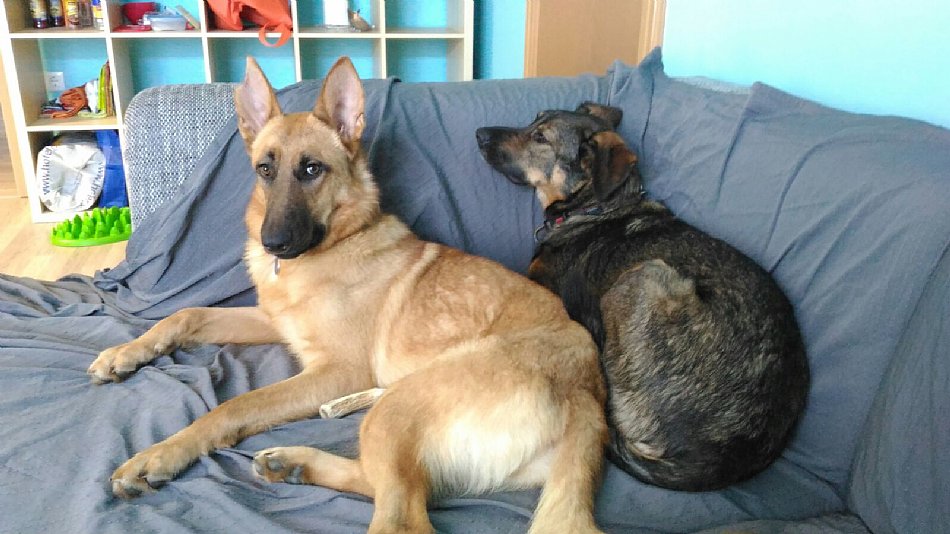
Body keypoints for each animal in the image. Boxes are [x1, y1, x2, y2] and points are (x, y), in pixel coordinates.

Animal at [87, 58, 609, 534]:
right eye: (265, 169)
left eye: (311, 169)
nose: (272, 243)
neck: (334, 243)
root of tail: (587, 394)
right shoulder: (273, 321)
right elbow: (186, 315)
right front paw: (124, 354)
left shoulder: (336, 372)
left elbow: (235, 406)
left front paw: (162, 454)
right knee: (388, 482)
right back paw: (294, 463)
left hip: (395, 409)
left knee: (402, 514)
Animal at [476, 104, 810, 491]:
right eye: (533, 120)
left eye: (541, 137)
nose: (480, 134)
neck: (595, 208)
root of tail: (722, 459)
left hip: (641, 279)